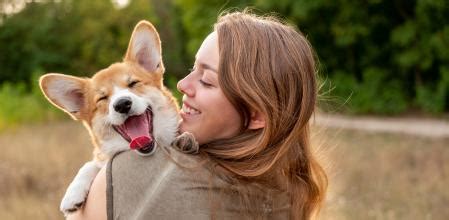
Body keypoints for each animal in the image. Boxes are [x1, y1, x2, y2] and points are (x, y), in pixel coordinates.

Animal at [38, 20, 192, 215]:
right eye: (102, 98)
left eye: (133, 83)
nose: (122, 104)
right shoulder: (101, 159)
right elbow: (90, 164)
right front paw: (72, 193)